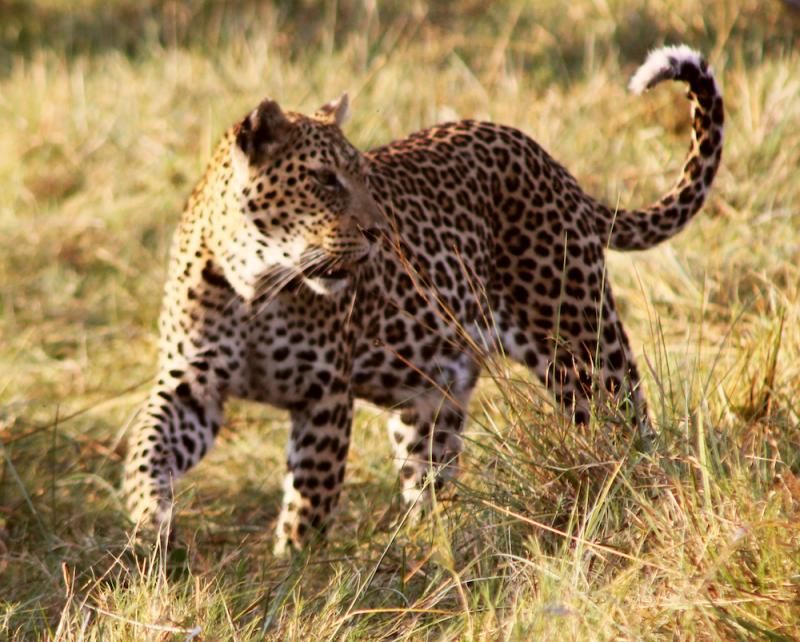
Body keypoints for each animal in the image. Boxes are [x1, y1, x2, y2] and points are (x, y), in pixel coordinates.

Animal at [122, 45, 723, 554]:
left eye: (363, 176)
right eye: (324, 180)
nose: (377, 232)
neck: (255, 287)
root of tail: (555, 168)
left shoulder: (325, 396)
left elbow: (309, 502)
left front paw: (294, 568)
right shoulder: (193, 386)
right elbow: (148, 445)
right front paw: (147, 517)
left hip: (580, 342)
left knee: (629, 421)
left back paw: (647, 489)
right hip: (433, 394)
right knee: (429, 476)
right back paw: (426, 543)